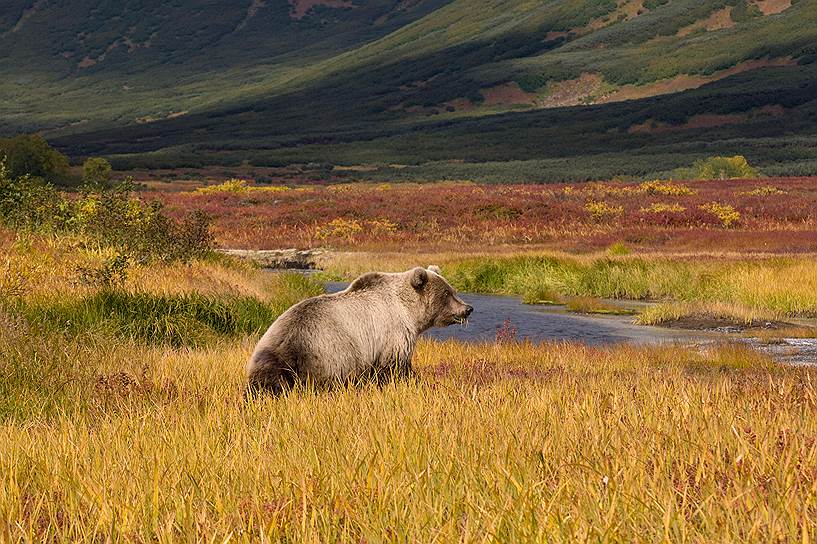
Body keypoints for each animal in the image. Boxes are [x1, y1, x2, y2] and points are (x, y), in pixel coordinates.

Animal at [242, 266, 472, 394]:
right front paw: (413, 382)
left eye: (452, 290)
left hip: (268, 358)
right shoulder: (393, 335)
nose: (468, 309)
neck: (409, 311)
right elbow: (395, 368)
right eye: (446, 293)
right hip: (327, 354)